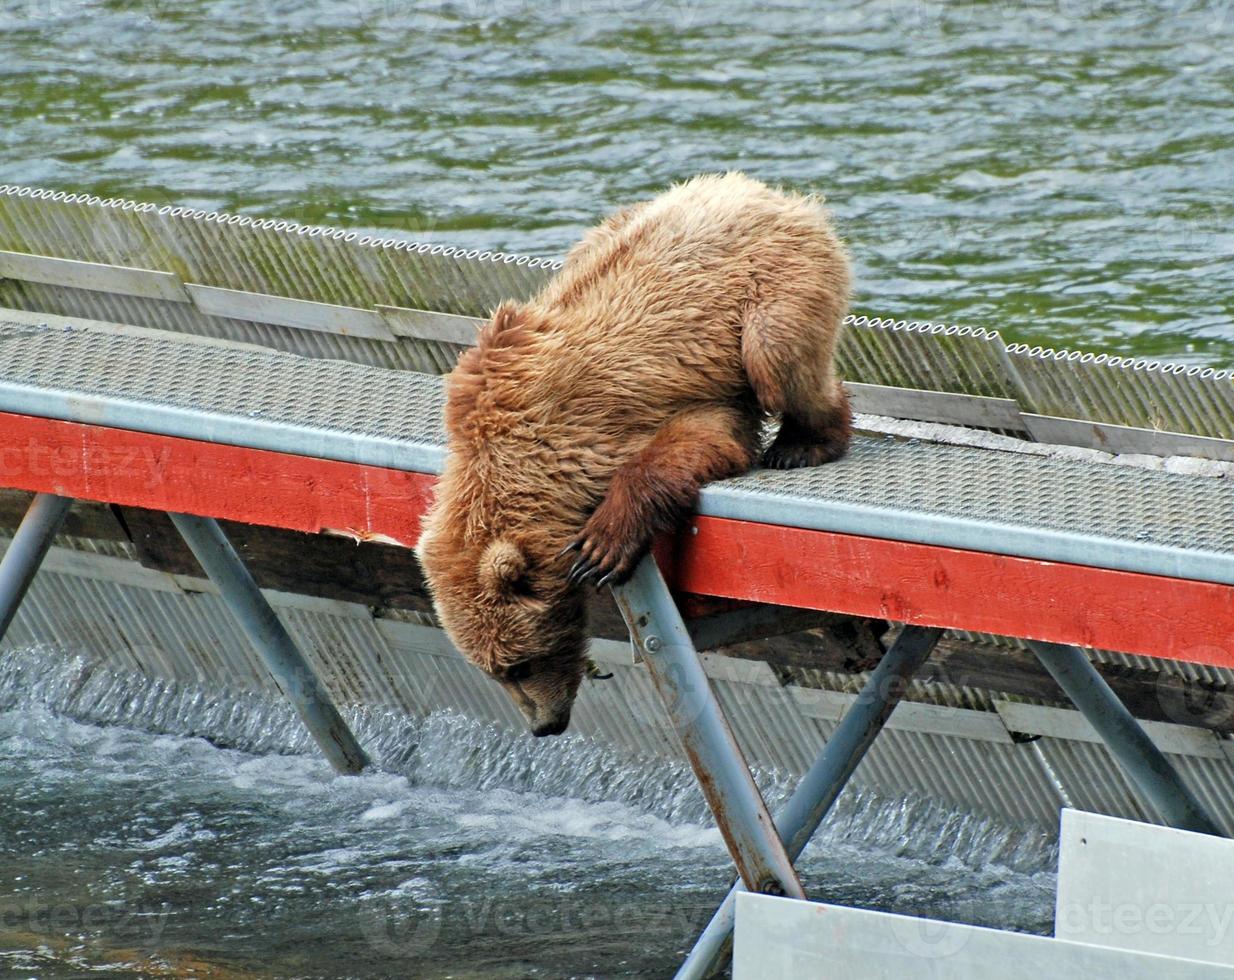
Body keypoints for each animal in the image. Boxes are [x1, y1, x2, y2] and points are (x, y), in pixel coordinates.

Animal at [414, 174, 848, 730]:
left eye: (518, 664)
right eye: (492, 671)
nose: (543, 727)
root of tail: (760, 189)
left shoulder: (612, 414)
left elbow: (698, 439)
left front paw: (602, 546)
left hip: (775, 280)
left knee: (777, 356)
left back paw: (804, 443)